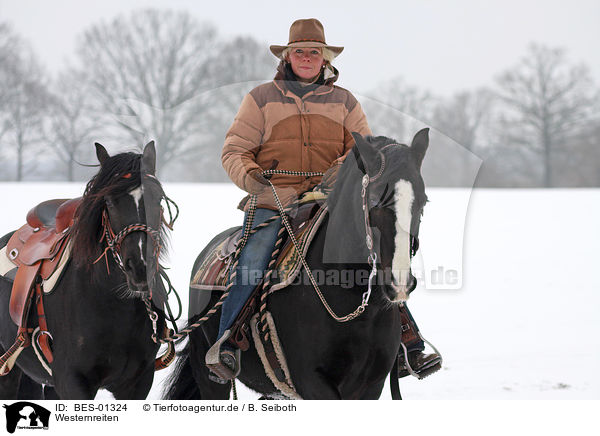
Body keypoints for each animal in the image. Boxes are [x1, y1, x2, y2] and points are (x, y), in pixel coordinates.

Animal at [166, 129, 432, 398]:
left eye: (423, 201)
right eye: (375, 199)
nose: (399, 283)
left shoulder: (371, 386)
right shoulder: (312, 381)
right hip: (209, 376)